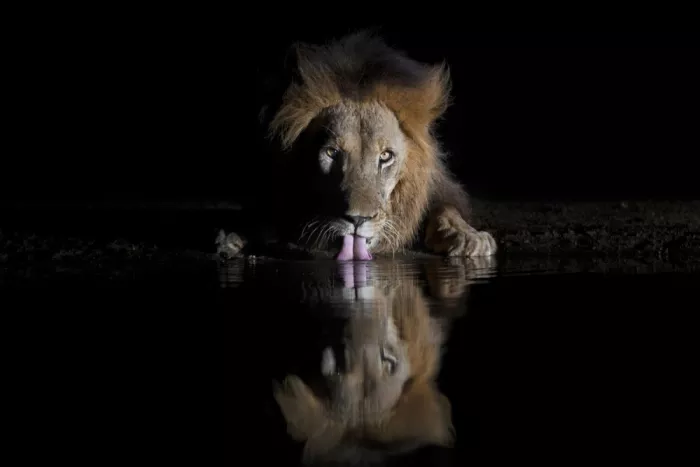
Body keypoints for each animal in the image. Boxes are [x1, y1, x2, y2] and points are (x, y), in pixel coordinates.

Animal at [222, 31, 497, 261]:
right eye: (332, 153)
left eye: (385, 156)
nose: (357, 220)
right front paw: (233, 236)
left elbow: (446, 209)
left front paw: (468, 237)